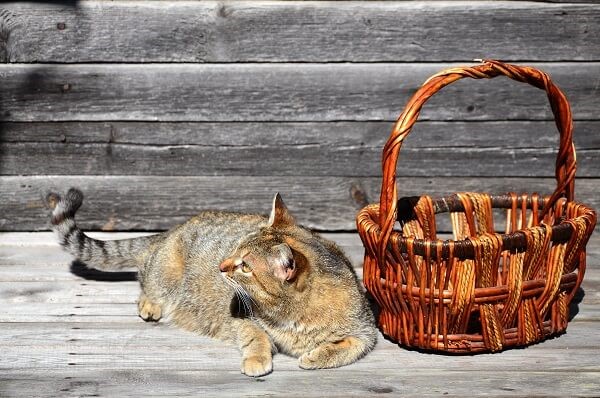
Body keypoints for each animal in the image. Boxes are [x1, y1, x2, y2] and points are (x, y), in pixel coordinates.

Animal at [47, 189, 376, 376]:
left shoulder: (365, 331)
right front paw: (257, 359)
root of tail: (170, 231)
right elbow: (256, 337)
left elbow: (348, 346)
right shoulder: (242, 317)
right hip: (165, 271)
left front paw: (318, 355)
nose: (222, 265)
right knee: (146, 281)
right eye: (235, 250)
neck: (292, 316)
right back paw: (150, 303)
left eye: (245, 266)